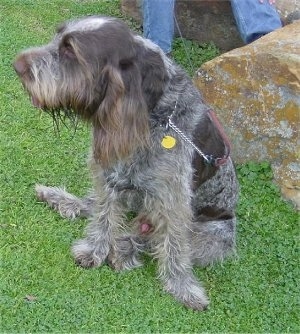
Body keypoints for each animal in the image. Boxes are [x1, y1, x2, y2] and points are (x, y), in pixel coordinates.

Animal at [14, 16, 239, 310]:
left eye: (70, 51)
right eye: (56, 38)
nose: (17, 66)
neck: (151, 115)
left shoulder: (173, 201)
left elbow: (174, 247)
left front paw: (182, 287)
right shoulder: (108, 174)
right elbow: (104, 216)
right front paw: (94, 249)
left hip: (216, 236)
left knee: (153, 238)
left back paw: (125, 248)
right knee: (97, 207)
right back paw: (60, 199)